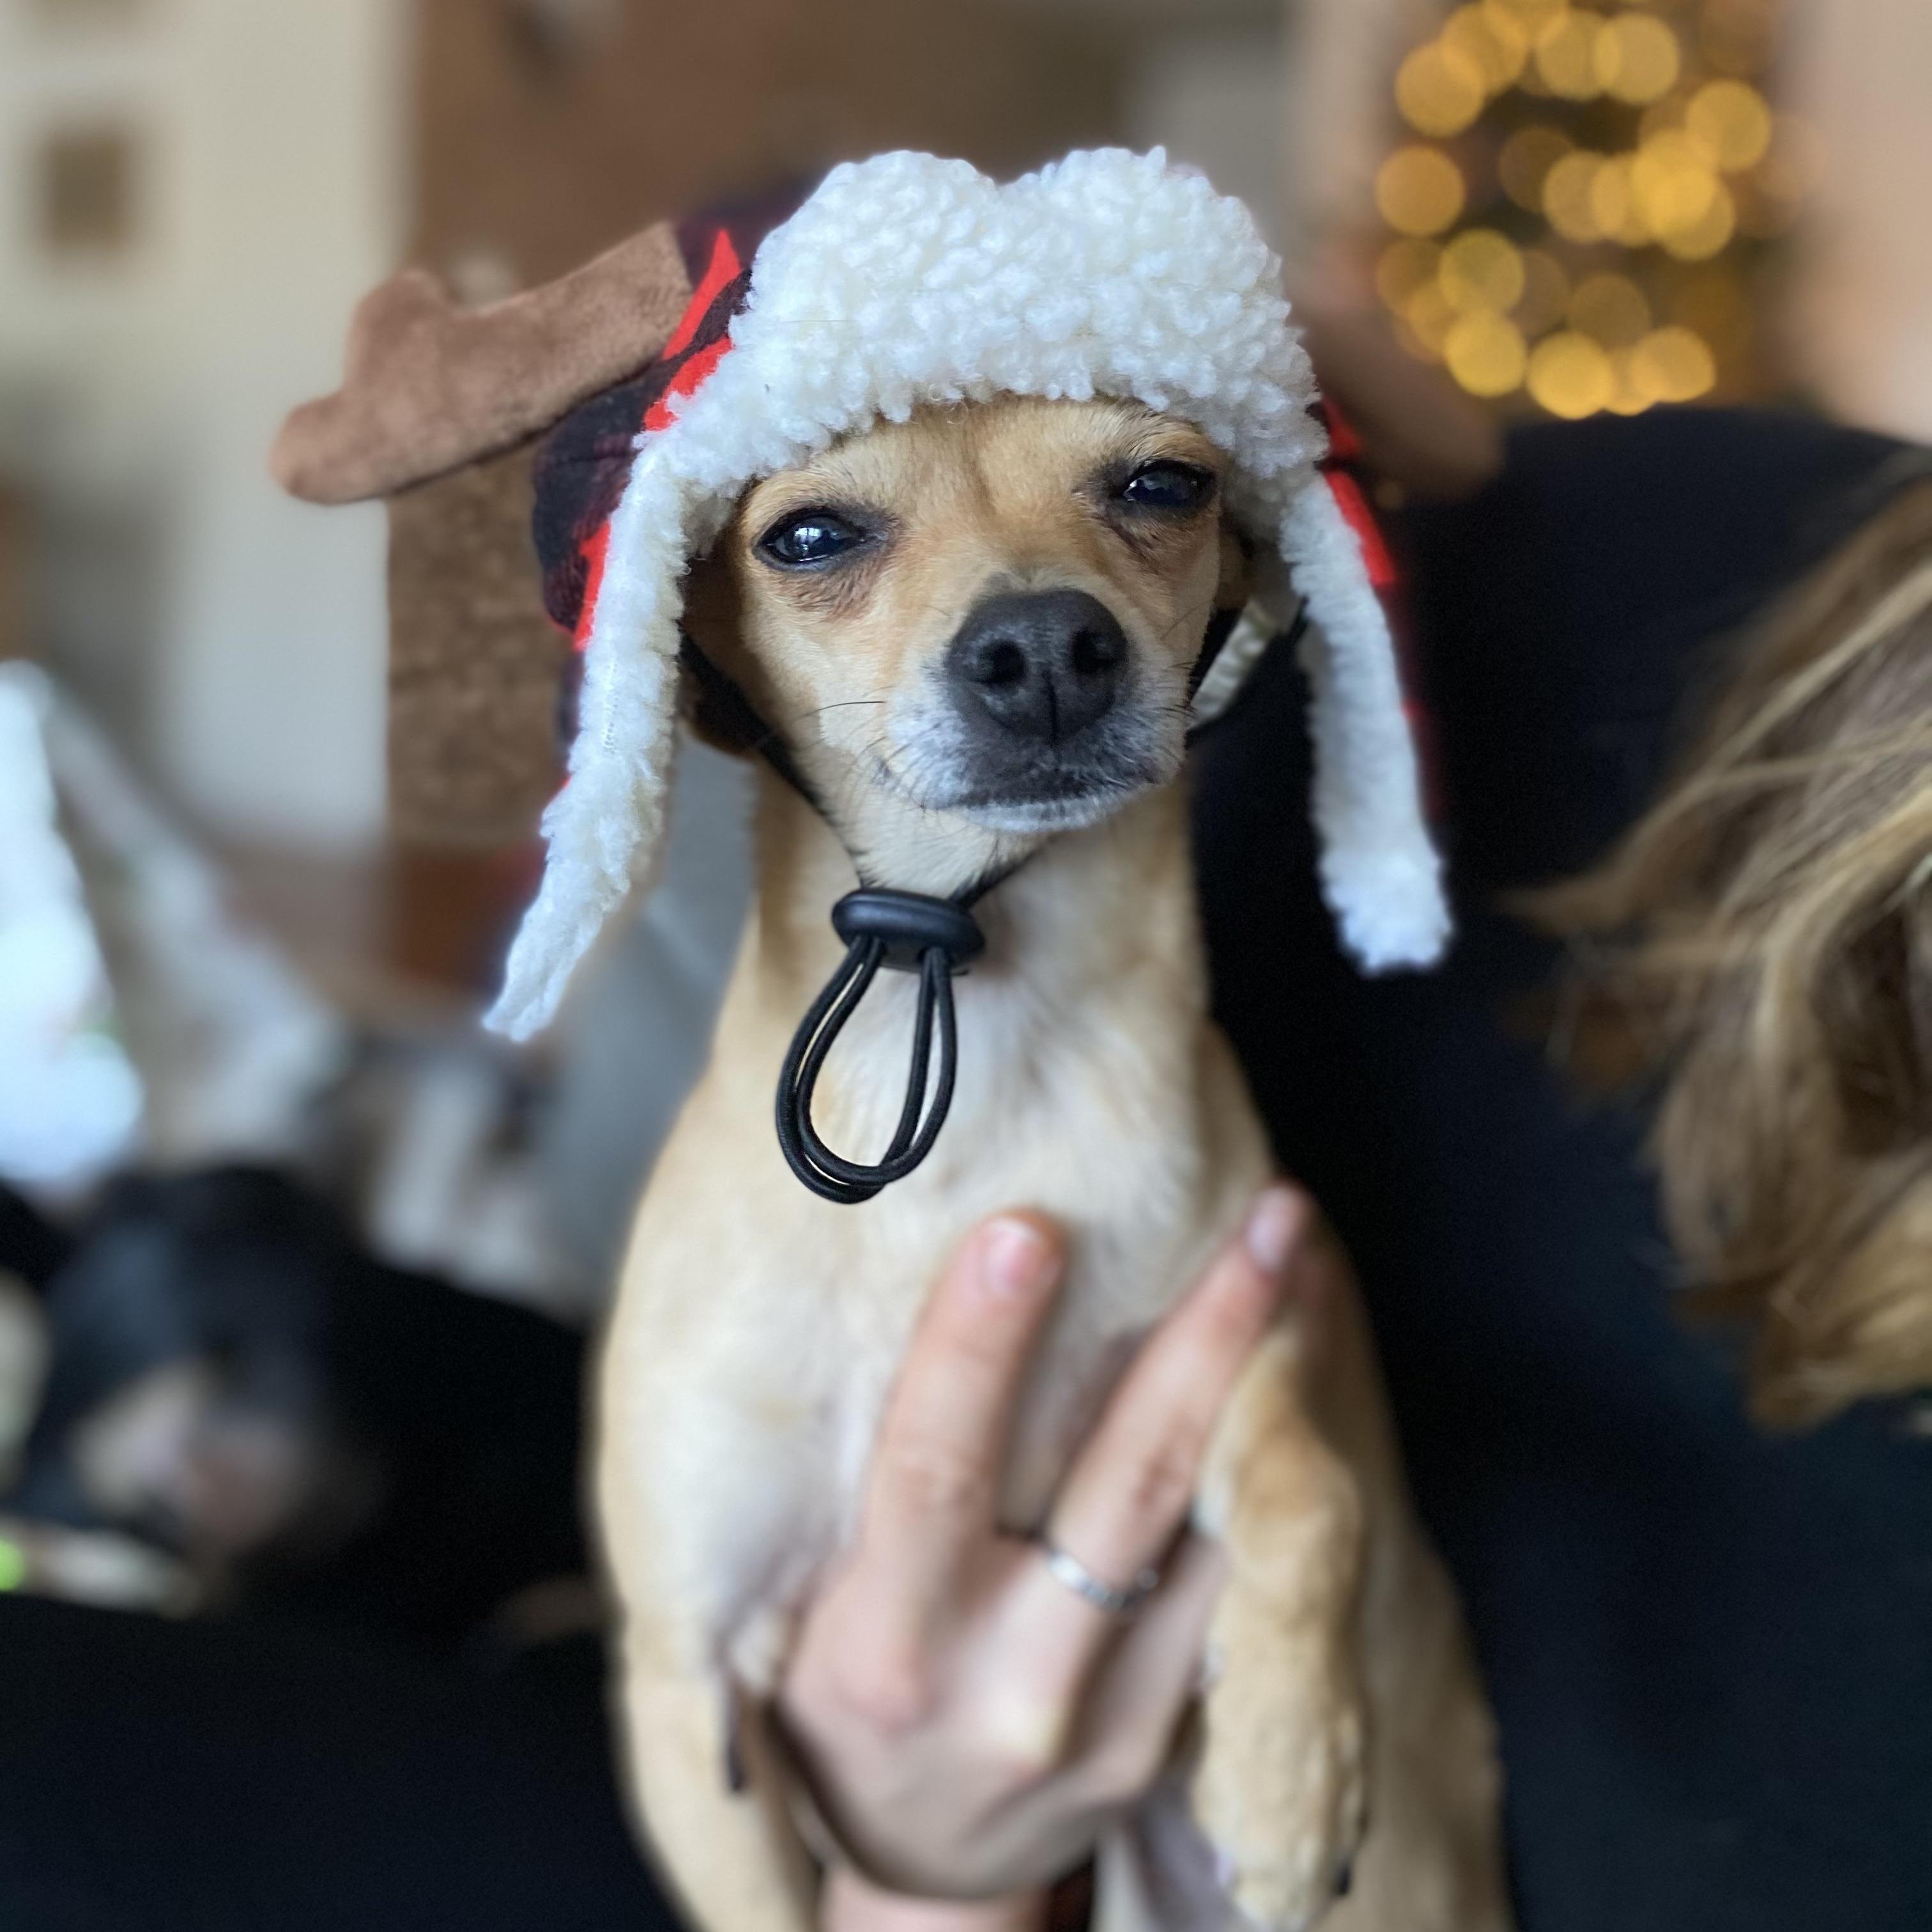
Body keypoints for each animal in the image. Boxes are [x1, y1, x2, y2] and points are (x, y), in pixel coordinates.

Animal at [593, 392, 1511, 1932]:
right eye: (809, 536)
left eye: (1163, 485)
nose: (1038, 647)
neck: (988, 1034)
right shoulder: (689, 1684)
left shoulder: (1246, 1339)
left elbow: (1310, 1491)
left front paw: (1288, 1766)